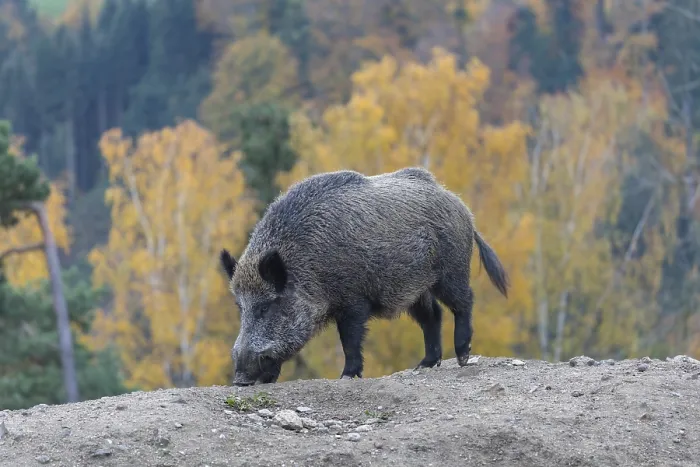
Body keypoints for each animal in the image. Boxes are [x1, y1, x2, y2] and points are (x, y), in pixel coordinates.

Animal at [219, 167, 509, 386]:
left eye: (266, 306)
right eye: (239, 307)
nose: (240, 380)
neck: (308, 265)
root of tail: (462, 207)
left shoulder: (353, 300)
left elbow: (349, 339)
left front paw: (347, 376)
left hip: (451, 270)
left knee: (464, 302)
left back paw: (462, 357)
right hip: (414, 288)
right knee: (432, 316)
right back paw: (424, 365)